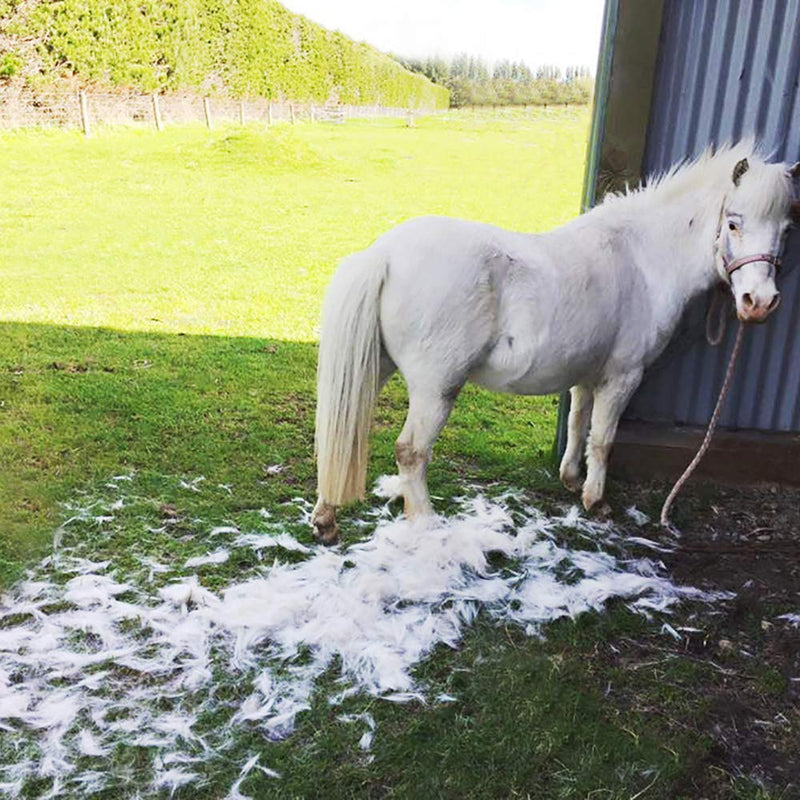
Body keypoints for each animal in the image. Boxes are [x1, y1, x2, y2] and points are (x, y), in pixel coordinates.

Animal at [310, 145, 796, 544]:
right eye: (733, 223)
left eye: (785, 230)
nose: (760, 302)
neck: (642, 260)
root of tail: (384, 254)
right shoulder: (622, 377)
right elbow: (603, 439)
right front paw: (596, 501)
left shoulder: (586, 375)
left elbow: (579, 425)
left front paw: (570, 480)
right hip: (436, 388)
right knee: (411, 452)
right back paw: (426, 522)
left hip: (373, 368)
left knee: (340, 434)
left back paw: (325, 519)